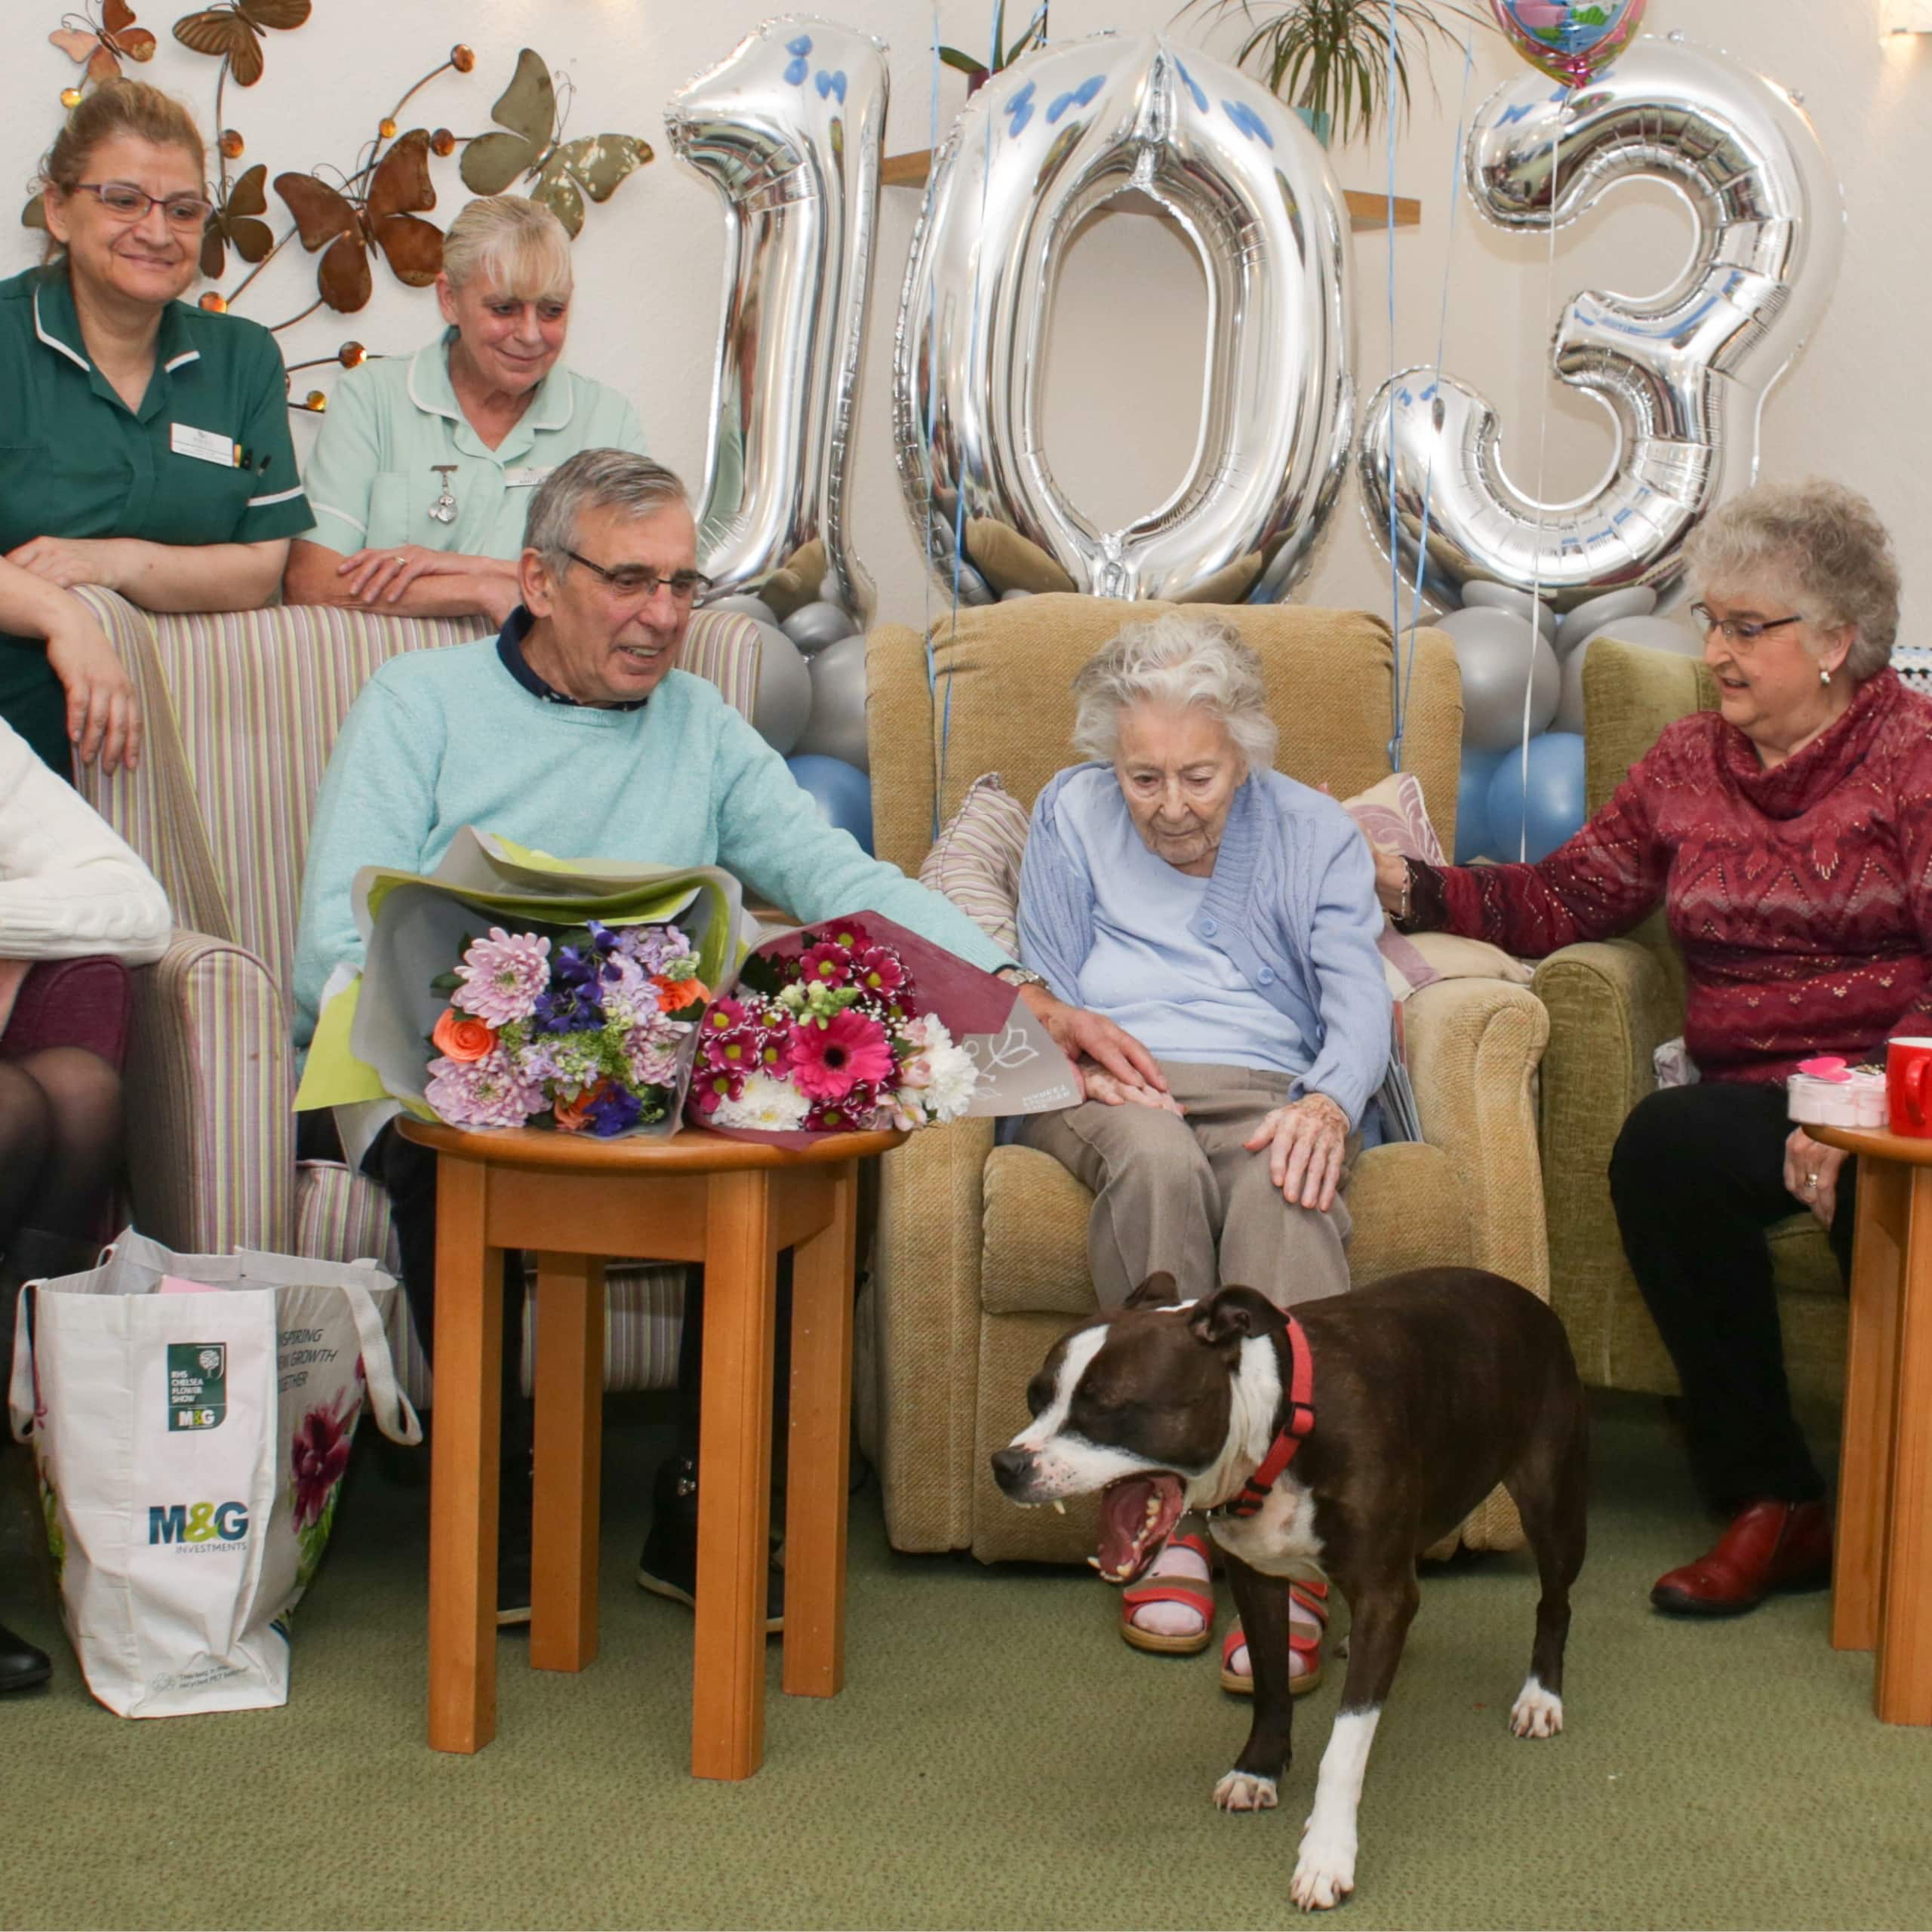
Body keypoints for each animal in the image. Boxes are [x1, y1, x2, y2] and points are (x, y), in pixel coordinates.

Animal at [989, 1260, 1592, 1909]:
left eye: (1107, 1408)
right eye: (1034, 1397)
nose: (1006, 1465)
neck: (1281, 1429)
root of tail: (1526, 1297)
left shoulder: (1380, 1592)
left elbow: (1345, 1747)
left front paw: (1327, 1854)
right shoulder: (1259, 1578)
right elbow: (1271, 1686)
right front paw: (1258, 1769)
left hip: (1552, 1506)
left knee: (1554, 1605)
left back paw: (1541, 1696)